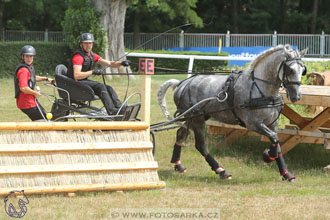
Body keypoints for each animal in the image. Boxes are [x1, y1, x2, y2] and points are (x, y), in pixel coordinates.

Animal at [157, 44, 306, 182]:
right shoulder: (253, 124)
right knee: (200, 145)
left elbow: (277, 142)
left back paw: (178, 164)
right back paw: (220, 170)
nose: (296, 96)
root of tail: (182, 84)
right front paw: (268, 156)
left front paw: (286, 173)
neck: (259, 88)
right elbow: (274, 138)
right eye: (290, 69)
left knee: (181, 134)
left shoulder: (272, 124)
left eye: (302, 69)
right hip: (196, 119)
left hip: (192, 118)